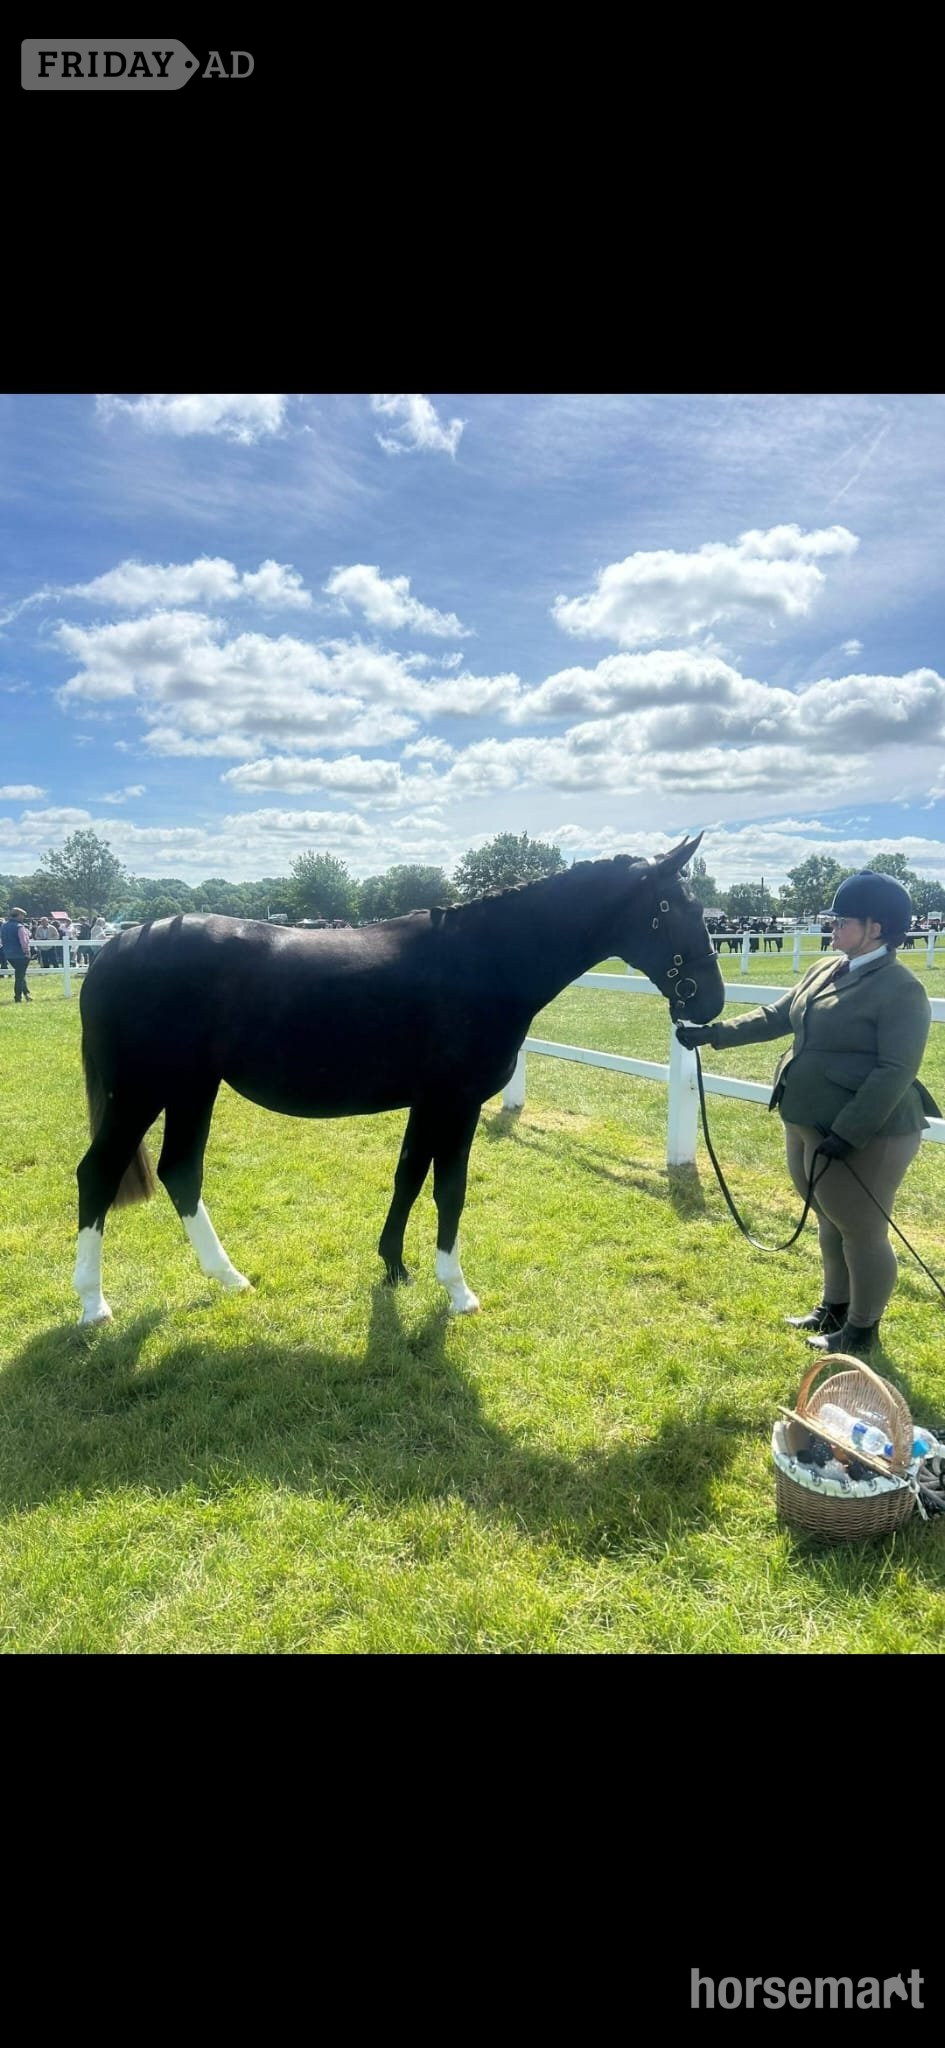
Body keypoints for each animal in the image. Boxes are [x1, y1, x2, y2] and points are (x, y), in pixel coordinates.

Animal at [73, 835, 725, 1325]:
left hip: (191, 1089)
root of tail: (114, 948)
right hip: (142, 1093)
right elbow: (449, 1190)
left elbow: (409, 1176)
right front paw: (457, 1289)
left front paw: (394, 1267)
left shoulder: (428, 1103)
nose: (711, 1001)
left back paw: (230, 1279)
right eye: (675, 909)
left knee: (180, 1171)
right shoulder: (457, 1103)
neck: (484, 961)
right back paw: (94, 1305)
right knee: (98, 1174)